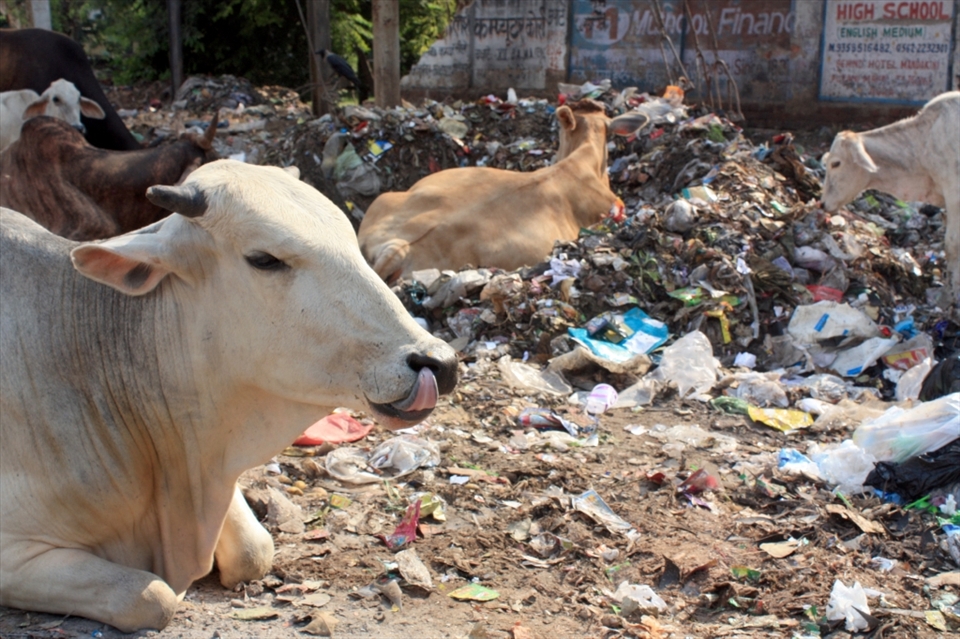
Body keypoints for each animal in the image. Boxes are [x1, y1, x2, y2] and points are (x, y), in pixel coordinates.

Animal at [0, 159, 459, 632]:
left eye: (351, 242)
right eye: (264, 260)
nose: (437, 362)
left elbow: (256, 552)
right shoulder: (14, 553)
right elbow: (150, 597)